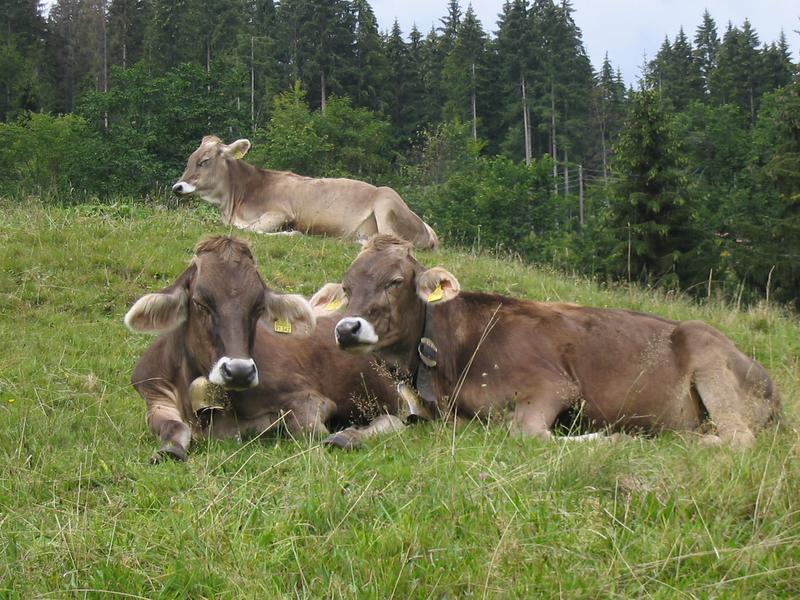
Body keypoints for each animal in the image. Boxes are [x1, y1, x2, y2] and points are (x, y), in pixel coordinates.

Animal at [126, 236, 416, 464]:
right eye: (199, 303)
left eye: (258, 308)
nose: (239, 371)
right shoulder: (155, 396)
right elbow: (172, 427)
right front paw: (169, 450)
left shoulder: (310, 398)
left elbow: (308, 429)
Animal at [171, 135, 440, 250]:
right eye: (189, 159)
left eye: (204, 161)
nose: (178, 187)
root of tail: (427, 229)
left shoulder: (281, 213)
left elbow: (249, 229)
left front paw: (291, 234)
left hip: (386, 200)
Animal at [318, 234, 780, 446]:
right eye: (347, 286)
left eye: (395, 281)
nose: (346, 329)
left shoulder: (554, 385)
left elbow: (525, 432)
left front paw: (608, 438)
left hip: (709, 358)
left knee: (738, 438)